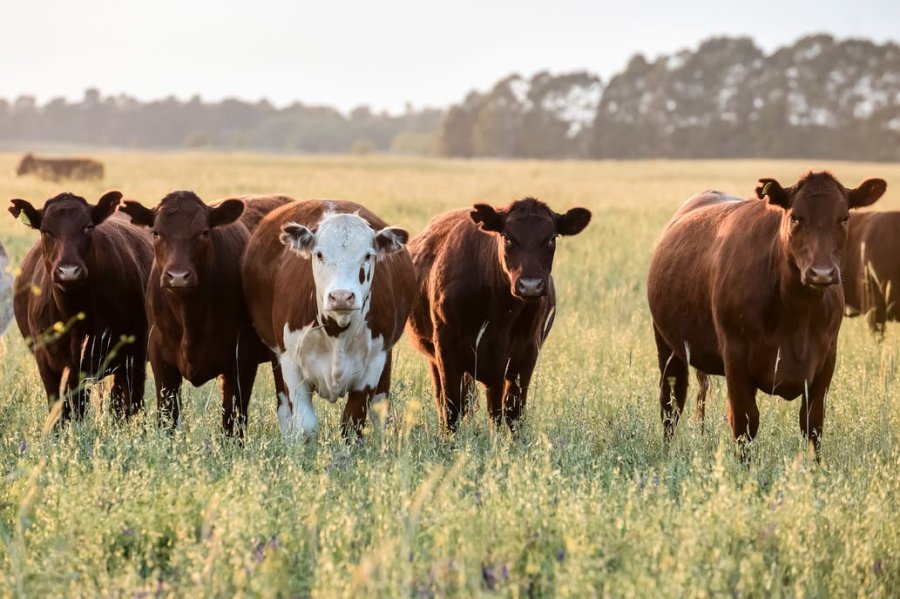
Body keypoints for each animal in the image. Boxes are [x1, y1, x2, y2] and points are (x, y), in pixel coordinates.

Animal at [9, 191, 153, 422]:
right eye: (46, 230)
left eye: (88, 226)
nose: (69, 271)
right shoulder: (51, 365)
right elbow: (63, 413)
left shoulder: (133, 358)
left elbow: (128, 409)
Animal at [119, 191, 292, 437]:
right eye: (156, 232)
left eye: (204, 232)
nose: (178, 276)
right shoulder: (160, 357)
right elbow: (167, 416)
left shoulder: (242, 358)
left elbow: (233, 419)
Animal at [242, 200, 415, 440]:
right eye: (319, 254)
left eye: (367, 256)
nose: (341, 296)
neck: (337, 331)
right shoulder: (290, 363)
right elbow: (306, 425)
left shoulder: (373, 364)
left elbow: (352, 422)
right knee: (284, 408)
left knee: (380, 407)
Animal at [406, 197, 592, 432]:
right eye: (507, 237)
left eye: (551, 238)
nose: (530, 285)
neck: (500, 314)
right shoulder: (446, 348)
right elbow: (451, 408)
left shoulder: (526, 353)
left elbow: (513, 411)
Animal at [647, 172, 886, 460]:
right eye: (795, 217)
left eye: (844, 218)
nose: (822, 273)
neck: (797, 314)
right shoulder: (735, 355)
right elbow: (745, 422)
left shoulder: (826, 358)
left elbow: (813, 423)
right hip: (667, 345)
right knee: (671, 403)